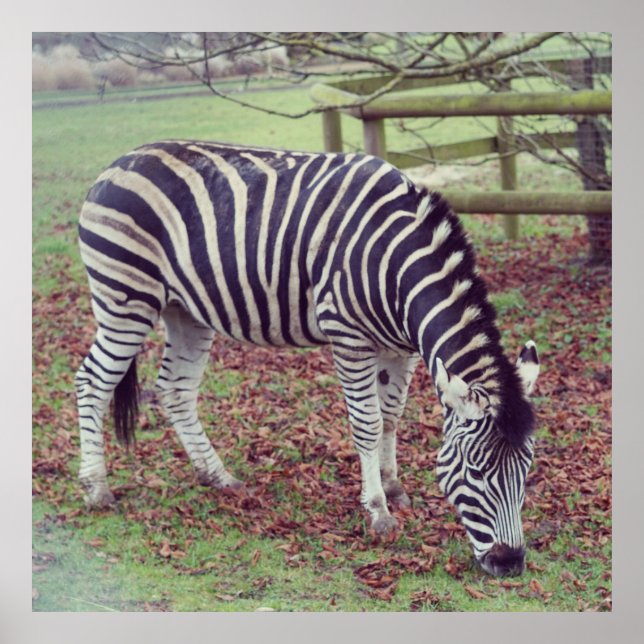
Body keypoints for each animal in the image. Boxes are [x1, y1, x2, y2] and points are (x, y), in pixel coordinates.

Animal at [74, 140, 540, 577]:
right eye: (476, 473)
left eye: (526, 471)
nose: (510, 563)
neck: (395, 266)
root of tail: (121, 161)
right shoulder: (349, 338)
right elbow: (368, 425)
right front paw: (378, 511)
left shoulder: (401, 348)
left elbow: (391, 418)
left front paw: (393, 488)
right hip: (126, 298)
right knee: (92, 382)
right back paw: (97, 490)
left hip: (185, 310)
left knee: (176, 390)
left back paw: (218, 477)